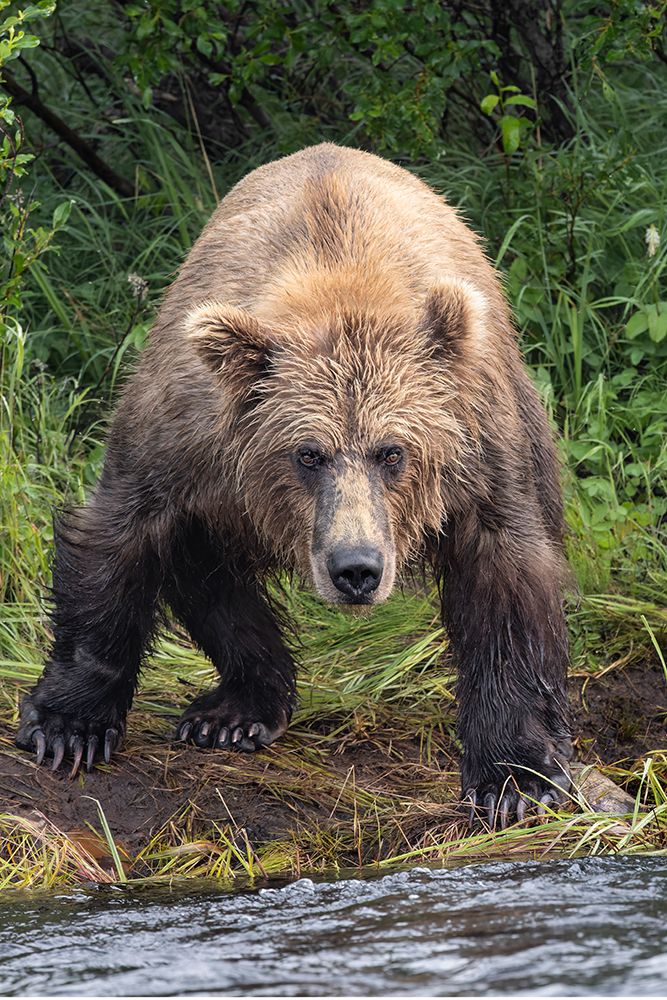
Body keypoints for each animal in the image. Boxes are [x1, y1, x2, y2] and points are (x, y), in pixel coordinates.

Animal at [16, 143, 572, 828]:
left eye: (393, 453)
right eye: (308, 454)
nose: (356, 569)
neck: (339, 279)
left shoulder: (478, 449)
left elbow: (507, 578)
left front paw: (513, 776)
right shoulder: (184, 433)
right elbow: (118, 535)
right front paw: (68, 725)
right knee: (205, 568)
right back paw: (234, 710)